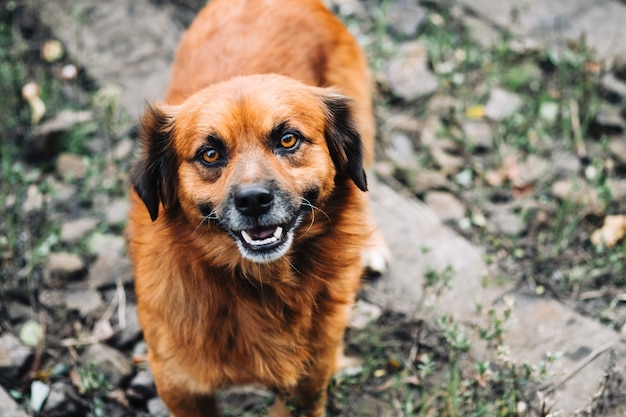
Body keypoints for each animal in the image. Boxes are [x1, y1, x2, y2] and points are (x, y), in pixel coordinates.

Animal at [125, 1, 382, 414]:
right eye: (210, 153)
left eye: (288, 139)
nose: (253, 200)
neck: (260, 287)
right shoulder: (178, 382)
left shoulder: (316, 363)